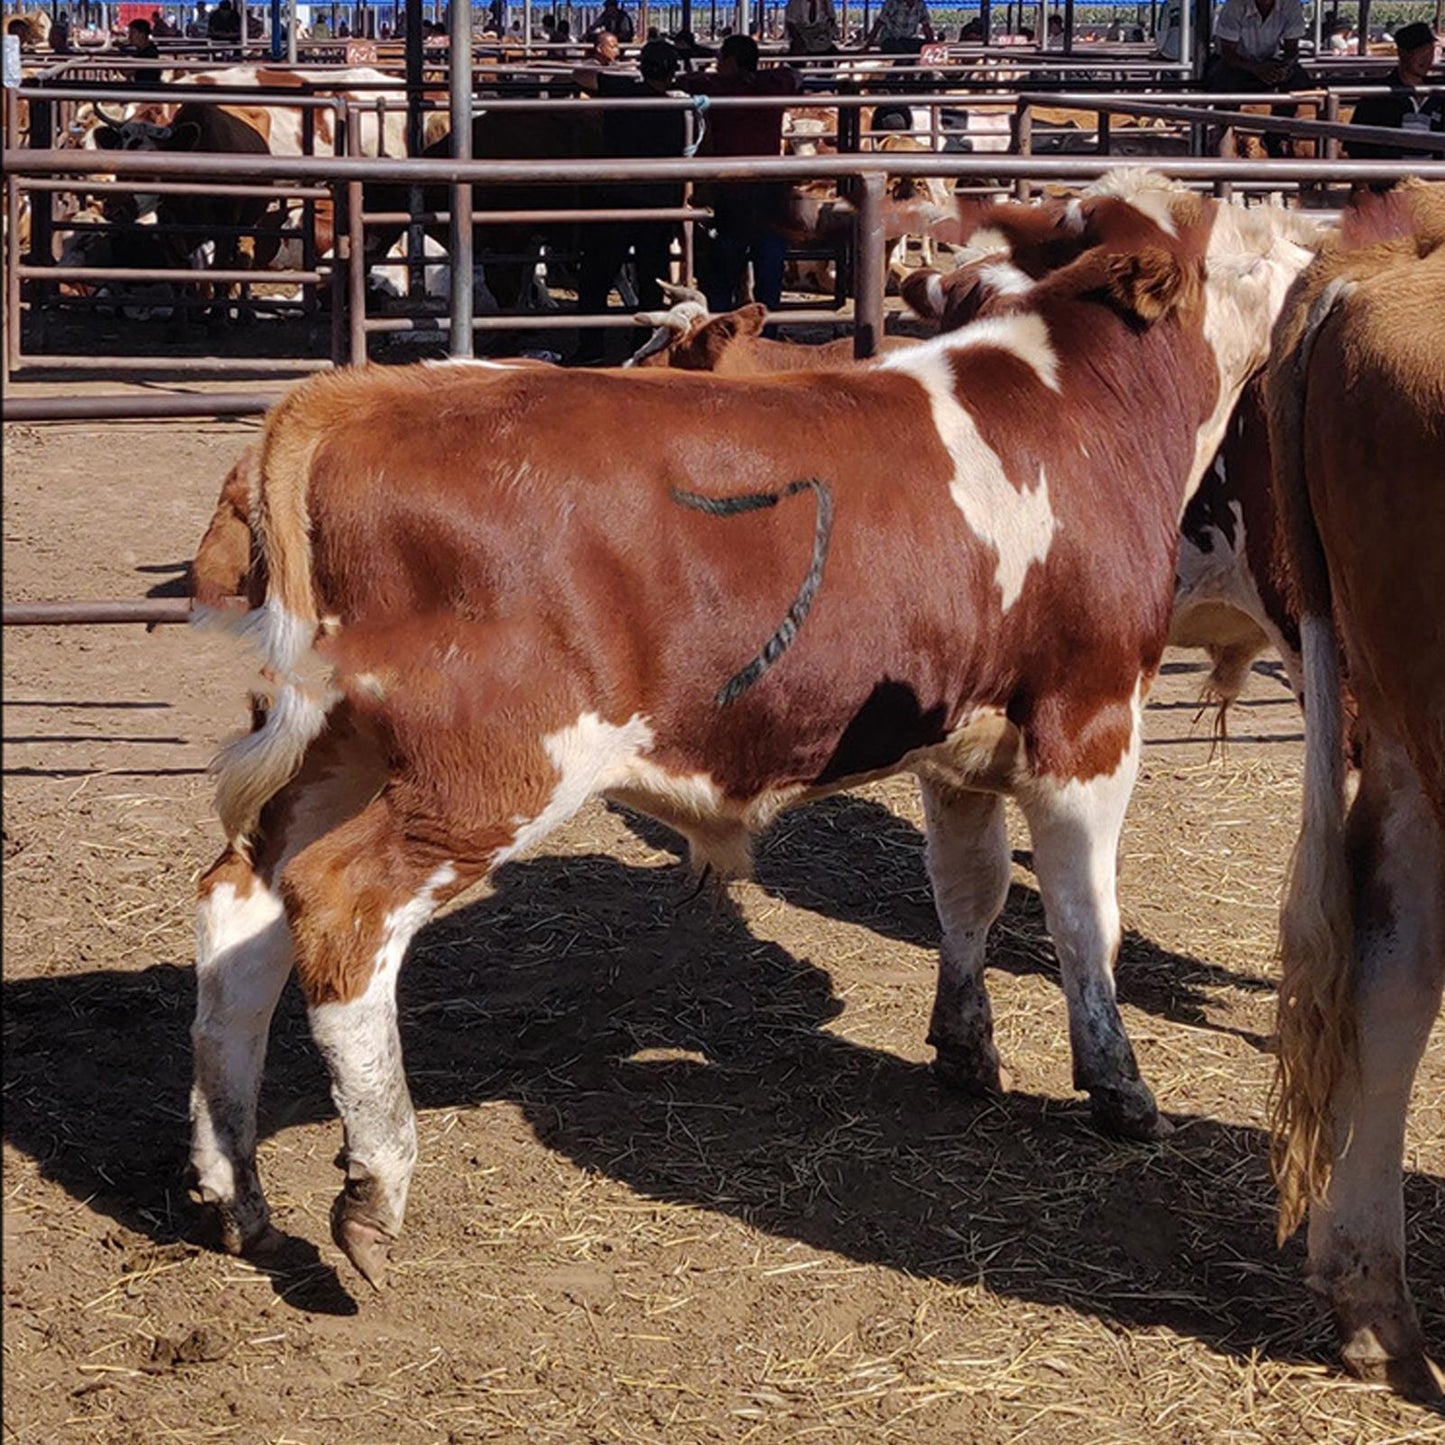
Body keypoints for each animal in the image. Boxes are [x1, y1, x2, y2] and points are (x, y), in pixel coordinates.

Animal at [185, 173, 1321, 1289]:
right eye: (1243, 247)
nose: (1314, 256)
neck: (1073, 404)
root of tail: (356, 395)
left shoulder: (957, 742)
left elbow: (968, 893)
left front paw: (964, 1049)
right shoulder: (1086, 721)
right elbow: (1087, 918)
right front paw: (1118, 1087)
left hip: (335, 748)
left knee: (244, 909)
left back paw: (234, 1186)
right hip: (490, 768)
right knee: (342, 909)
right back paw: (374, 1186)